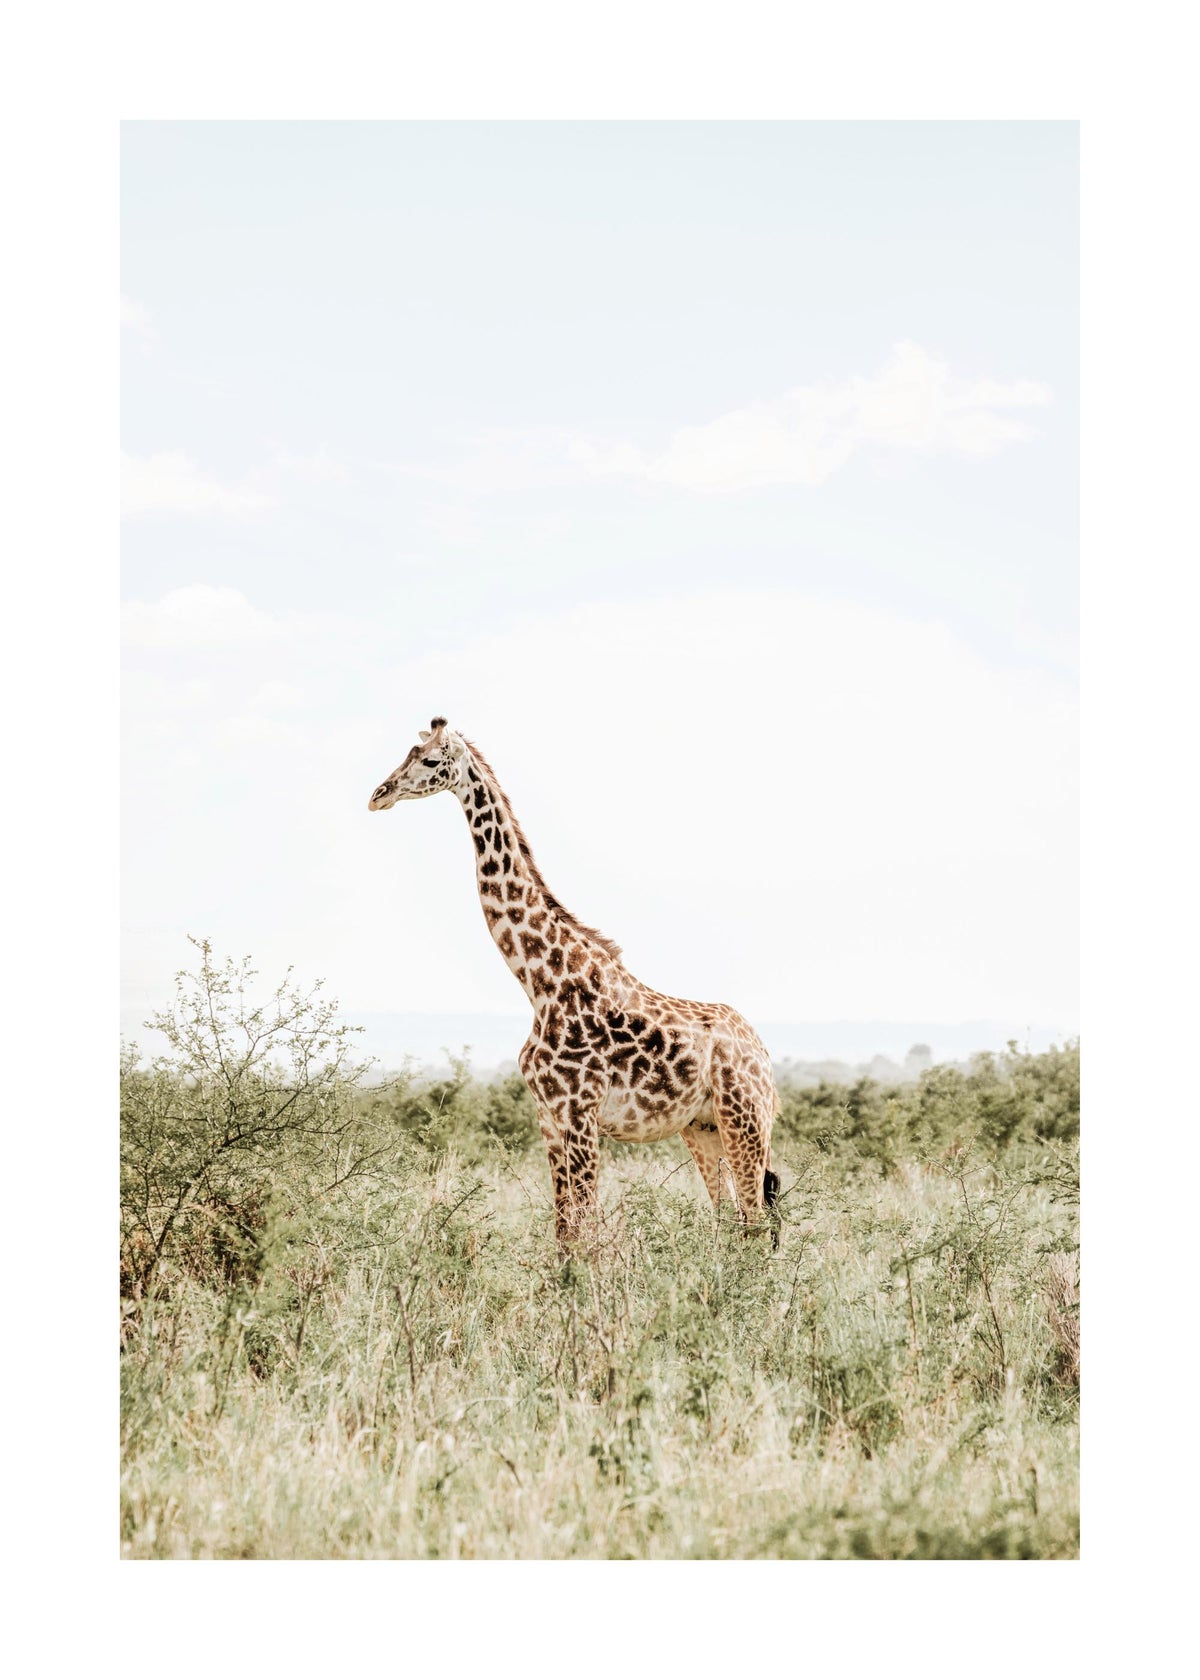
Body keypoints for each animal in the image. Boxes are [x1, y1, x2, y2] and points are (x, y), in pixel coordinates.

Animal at [369, 718, 781, 1250]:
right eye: (408, 752)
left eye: (431, 760)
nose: (379, 794)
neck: (540, 982)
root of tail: (763, 1054)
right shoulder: (548, 1115)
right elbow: (565, 1230)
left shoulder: (581, 1112)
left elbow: (586, 1229)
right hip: (703, 1127)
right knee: (732, 1220)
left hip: (746, 1121)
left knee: (758, 1220)